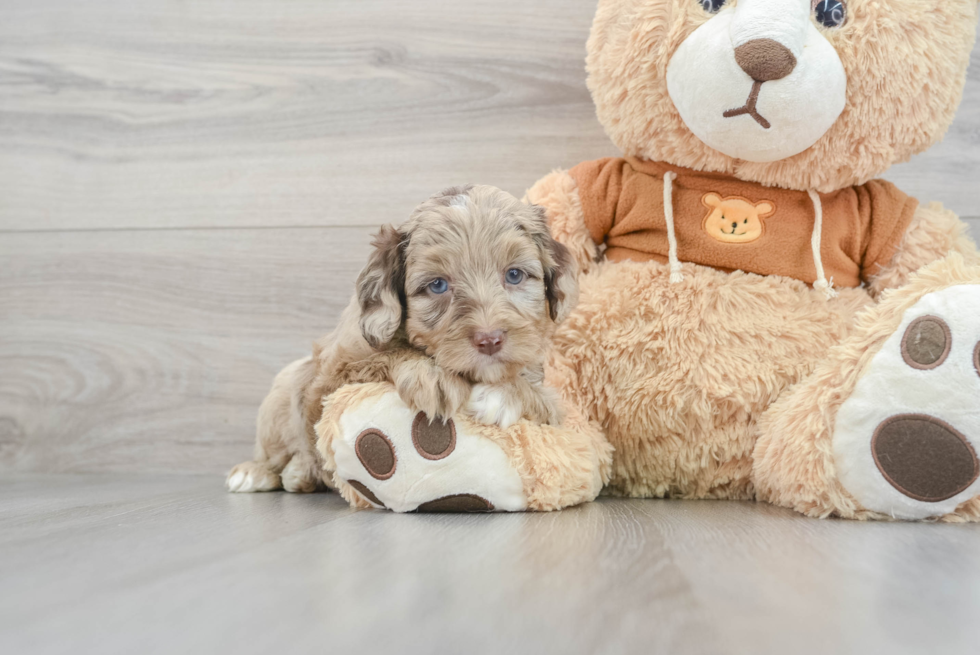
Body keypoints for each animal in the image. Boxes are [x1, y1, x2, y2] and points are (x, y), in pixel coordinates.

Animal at [228, 184, 580, 492]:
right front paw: (433, 375)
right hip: (280, 396)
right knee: (274, 449)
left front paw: (503, 393)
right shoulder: (326, 380)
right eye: (437, 285)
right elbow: (383, 354)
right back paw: (257, 472)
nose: (489, 339)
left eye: (515, 275)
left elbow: (547, 404)